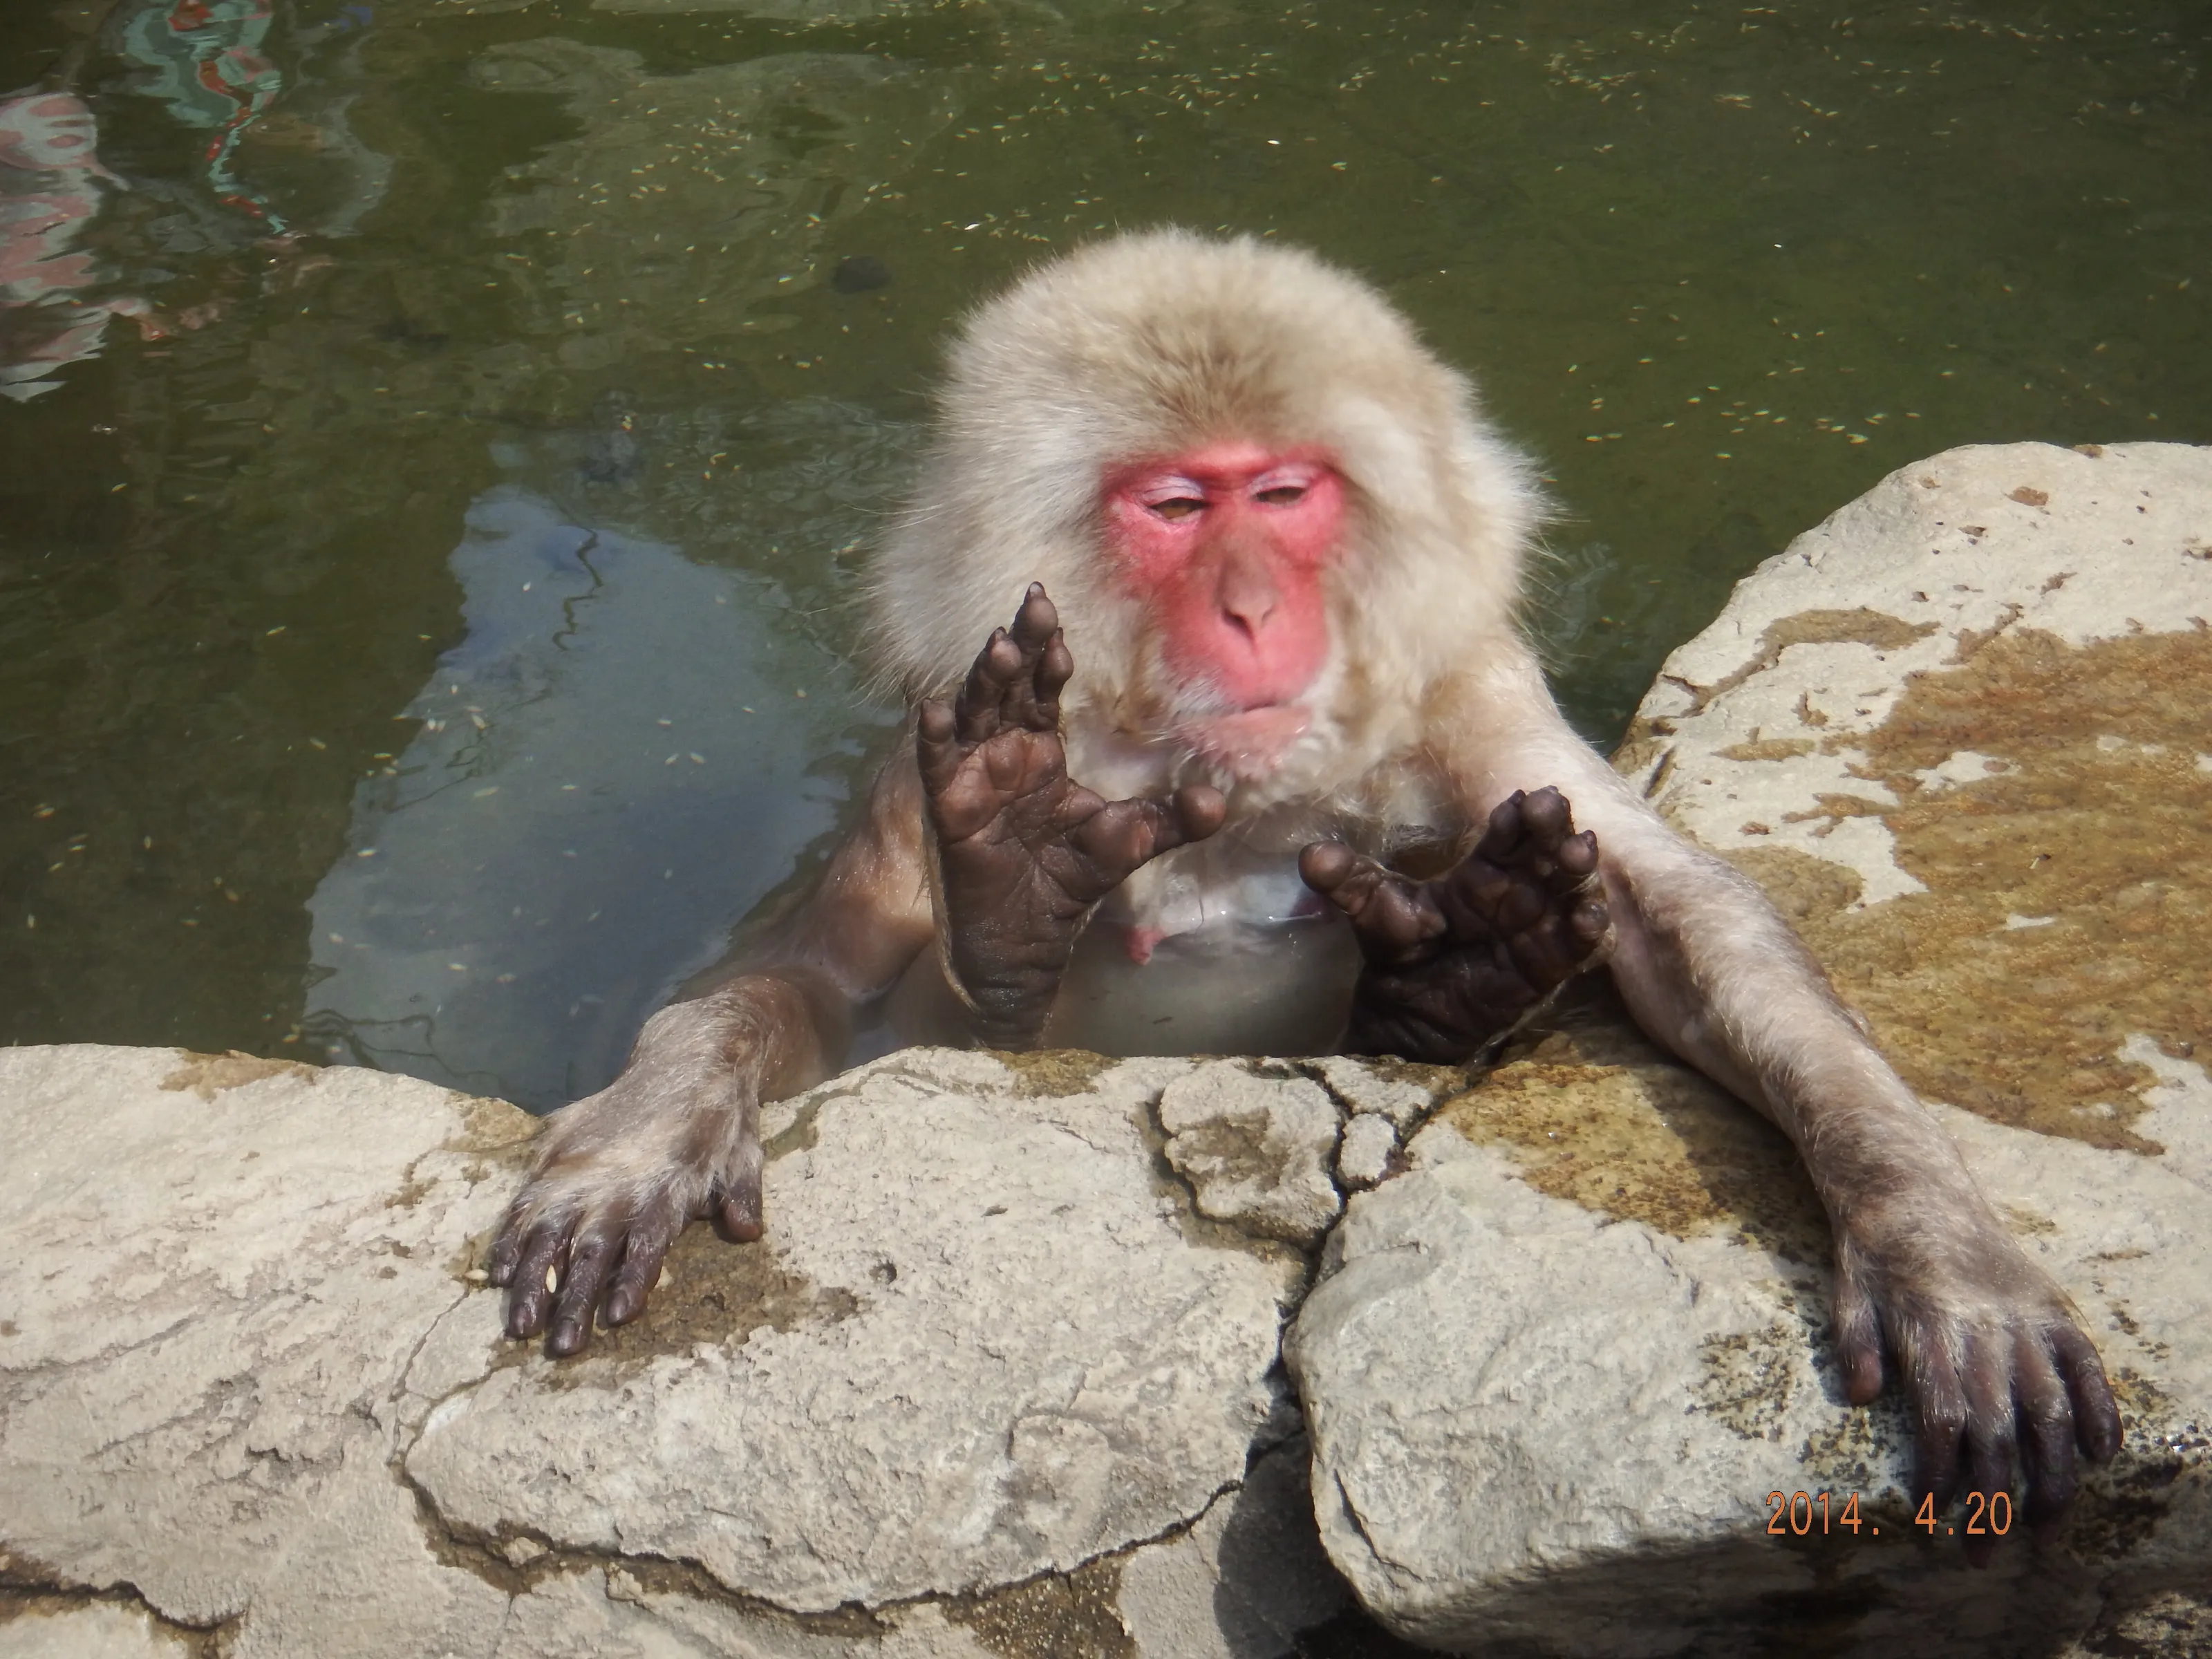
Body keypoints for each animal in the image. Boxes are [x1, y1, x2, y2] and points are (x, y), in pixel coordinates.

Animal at [491, 229, 2119, 1530]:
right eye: (1173, 508)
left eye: (1280, 494)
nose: (1250, 606)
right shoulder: (926, 727)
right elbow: (803, 982)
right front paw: (648, 1128)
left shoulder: (1472, 689)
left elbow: (1685, 915)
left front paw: (1936, 1244)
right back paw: (1029, 901)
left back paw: (1454, 975)